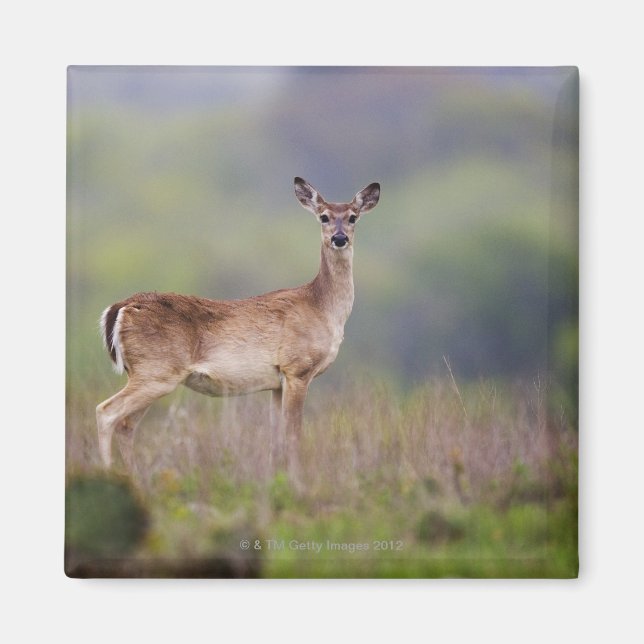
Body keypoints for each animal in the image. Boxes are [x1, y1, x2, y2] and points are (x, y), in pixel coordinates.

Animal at [96, 177, 380, 473]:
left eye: (353, 217)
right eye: (323, 216)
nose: (340, 238)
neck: (322, 307)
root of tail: (121, 307)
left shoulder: (277, 383)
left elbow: (275, 440)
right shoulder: (297, 369)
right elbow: (293, 436)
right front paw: (296, 480)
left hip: (148, 374)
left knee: (126, 425)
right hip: (156, 371)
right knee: (106, 412)